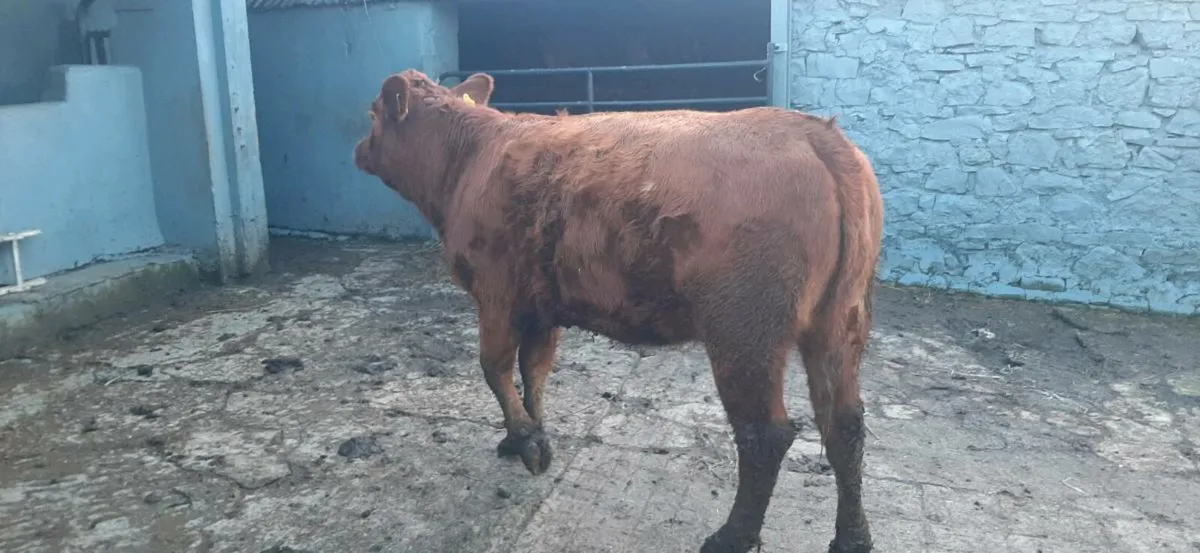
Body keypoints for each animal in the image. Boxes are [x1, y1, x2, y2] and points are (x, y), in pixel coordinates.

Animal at [353, 69, 884, 553]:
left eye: (373, 114)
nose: (359, 148)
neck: (470, 160)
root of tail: (814, 133)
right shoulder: (538, 303)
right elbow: (534, 370)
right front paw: (530, 434)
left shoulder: (496, 294)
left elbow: (495, 367)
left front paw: (525, 442)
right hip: (839, 321)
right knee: (845, 423)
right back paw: (852, 538)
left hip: (745, 331)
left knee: (765, 435)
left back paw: (731, 537)